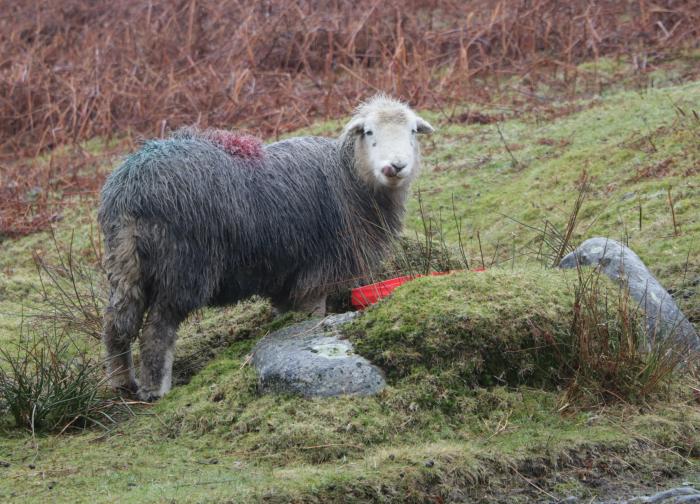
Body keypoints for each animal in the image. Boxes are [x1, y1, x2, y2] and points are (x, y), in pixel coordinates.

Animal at [100, 95, 432, 402]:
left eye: (413, 131)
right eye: (369, 132)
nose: (396, 166)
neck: (350, 178)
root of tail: (132, 188)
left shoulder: (285, 275)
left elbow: (285, 314)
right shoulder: (318, 271)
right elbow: (313, 315)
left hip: (124, 262)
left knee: (116, 323)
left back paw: (121, 382)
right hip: (184, 265)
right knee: (157, 330)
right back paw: (155, 390)